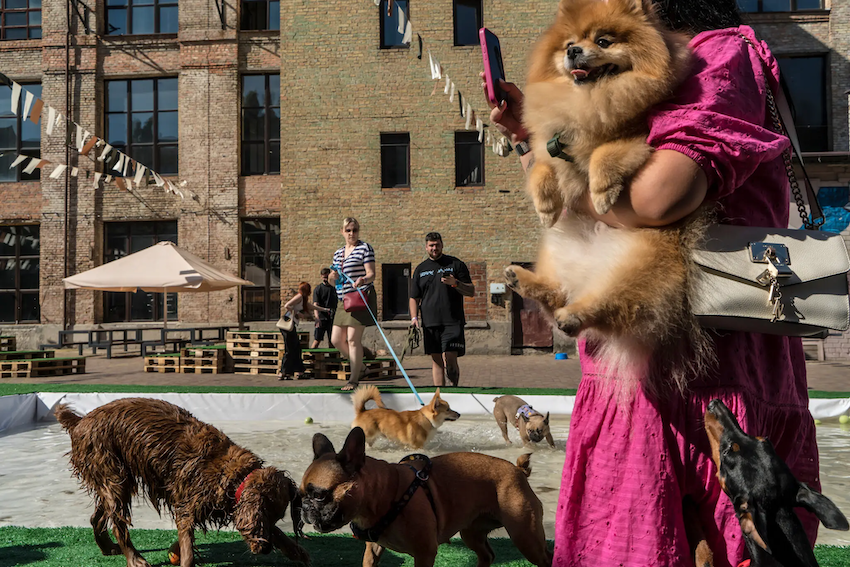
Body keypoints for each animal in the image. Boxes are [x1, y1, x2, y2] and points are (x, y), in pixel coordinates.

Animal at [55, 400, 308, 567]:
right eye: (262, 518)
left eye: (275, 518)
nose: (265, 550)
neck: (232, 473)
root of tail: (80, 421)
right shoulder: (187, 506)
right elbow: (187, 547)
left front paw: (296, 551)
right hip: (113, 477)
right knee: (118, 524)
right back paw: (135, 559)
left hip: (115, 480)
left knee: (97, 517)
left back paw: (107, 548)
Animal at [298, 430, 548, 567]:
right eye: (300, 494)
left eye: (319, 495)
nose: (305, 506)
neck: (388, 493)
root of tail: (518, 470)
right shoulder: (373, 550)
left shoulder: (424, 553)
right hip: (472, 533)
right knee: (487, 555)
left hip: (524, 535)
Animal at [504, 0, 708, 392]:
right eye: (569, 43)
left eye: (603, 40)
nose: (573, 51)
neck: (588, 101)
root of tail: (590, 271)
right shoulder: (550, 145)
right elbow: (540, 169)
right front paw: (545, 205)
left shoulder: (640, 140)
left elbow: (604, 153)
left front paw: (601, 194)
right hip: (557, 246)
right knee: (557, 292)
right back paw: (524, 280)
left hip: (641, 263)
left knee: (611, 306)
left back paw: (575, 313)